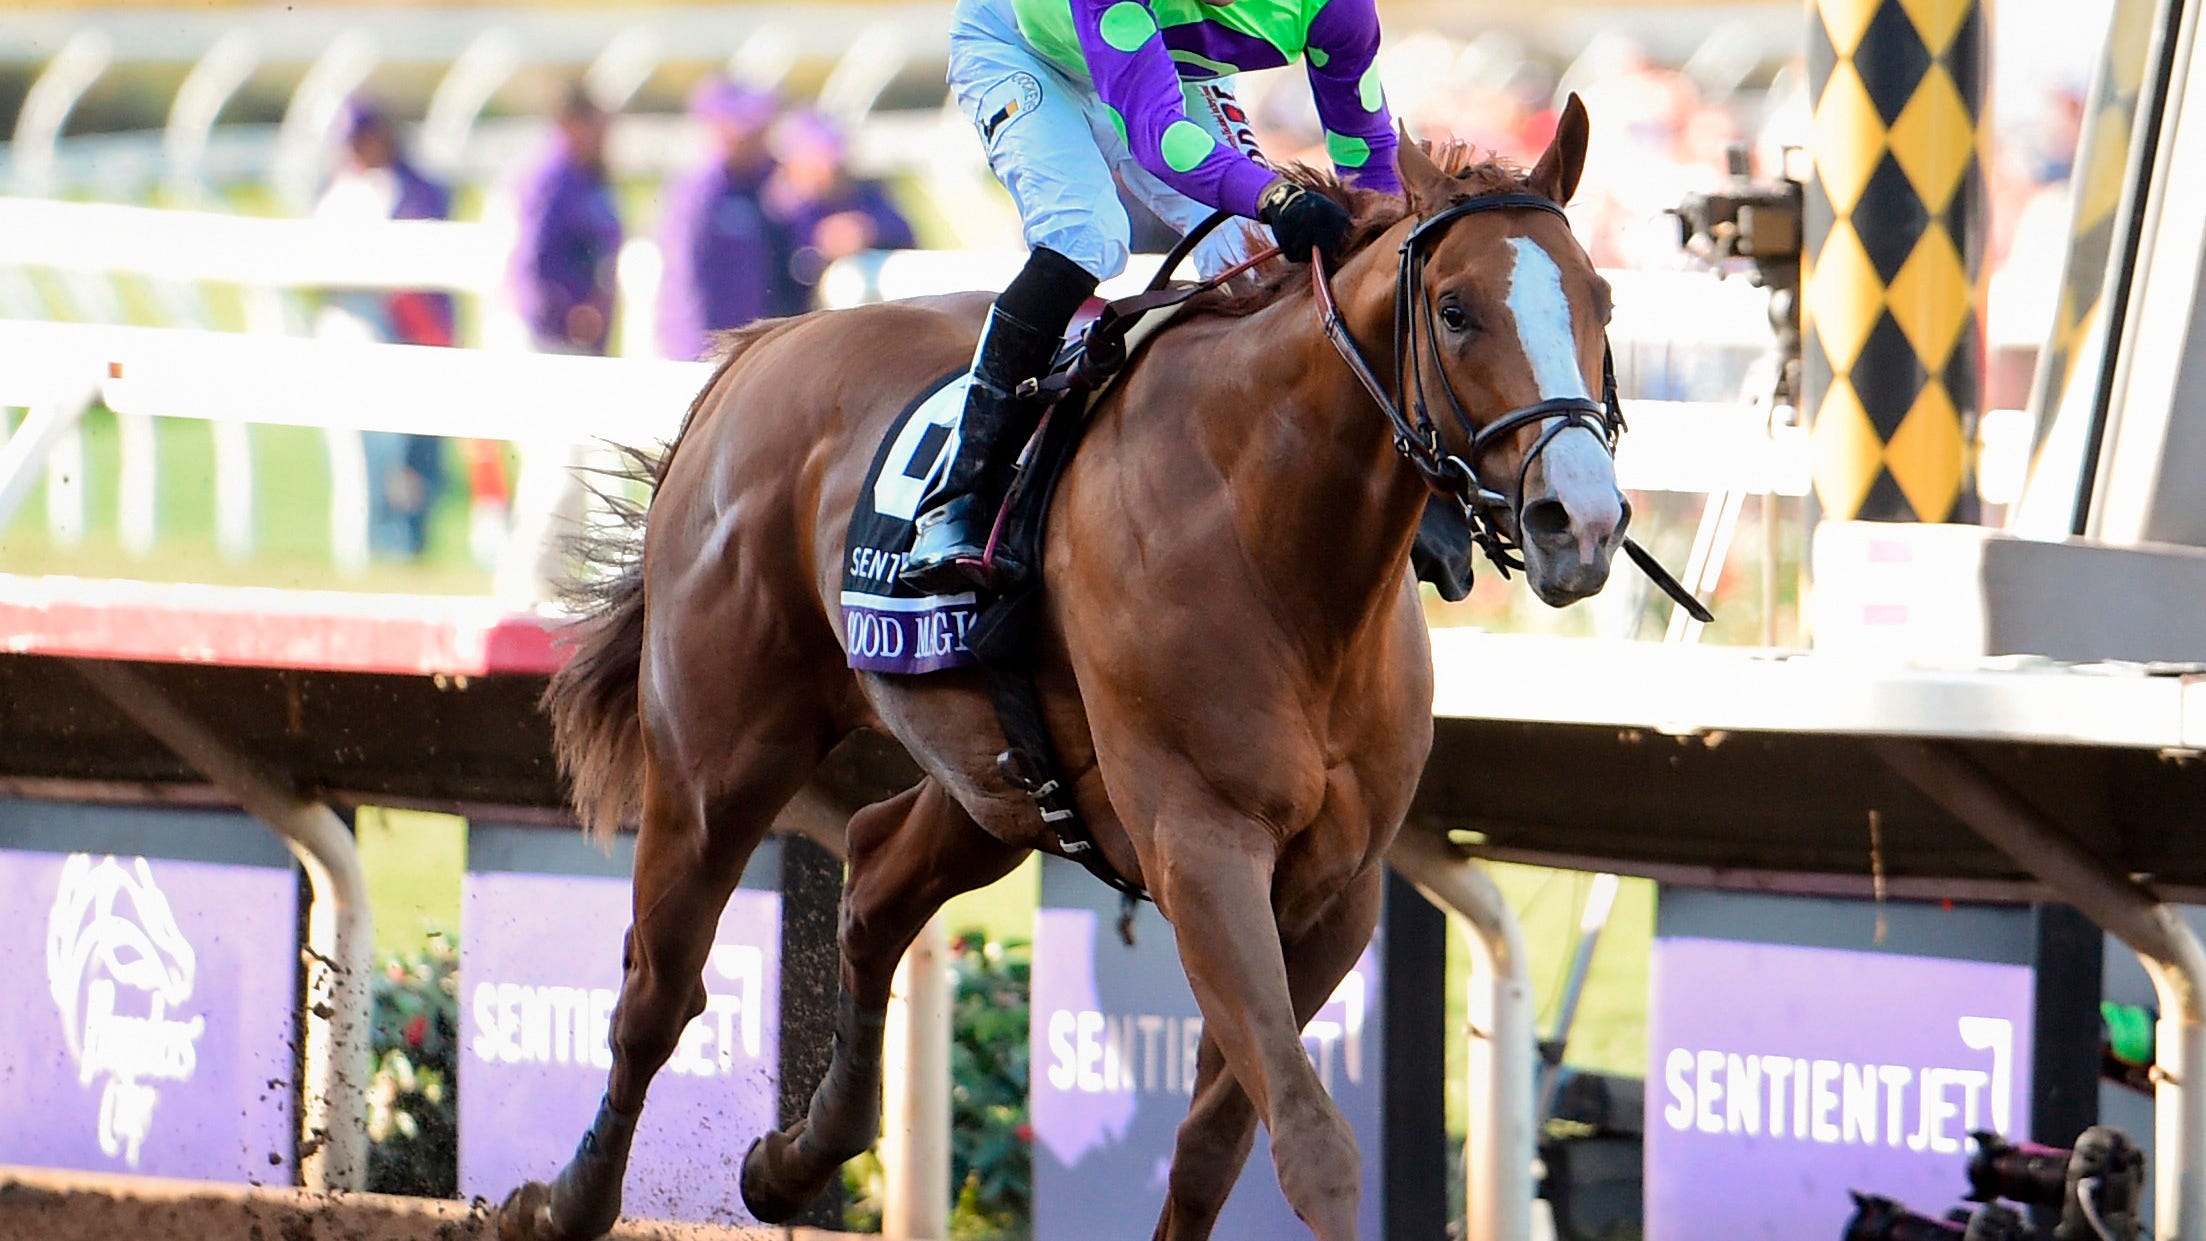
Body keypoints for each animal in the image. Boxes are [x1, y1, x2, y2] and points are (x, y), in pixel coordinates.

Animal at [507, 104, 1632, 1241]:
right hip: (718, 756)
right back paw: (562, 1197)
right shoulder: (1203, 848)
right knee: (657, 987)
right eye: (1454, 310)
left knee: (874, 873)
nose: (1578, 522)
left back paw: (793, 1159)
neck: (1274, 533)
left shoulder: (1335, 890)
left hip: (1001, 783)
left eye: (1601, 300)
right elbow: (1313, 1144)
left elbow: (1214, 1146)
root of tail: (768, 344)